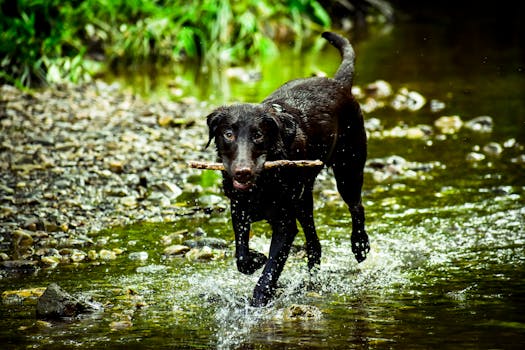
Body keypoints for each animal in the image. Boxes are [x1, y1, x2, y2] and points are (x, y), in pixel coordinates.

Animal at [205, 32, 368, 306]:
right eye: (228, 134)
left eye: (258, 136)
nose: (242, 172)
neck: (263, 183)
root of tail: (338, 83)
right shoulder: (239, 210)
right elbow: (242, 257)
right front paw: (255, 259)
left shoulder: (284, 224)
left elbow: (272, 268)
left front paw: (261, 296)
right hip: (303, 200)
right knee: (314, 244)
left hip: (348, 170)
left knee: (357, 207)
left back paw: (360, 246)